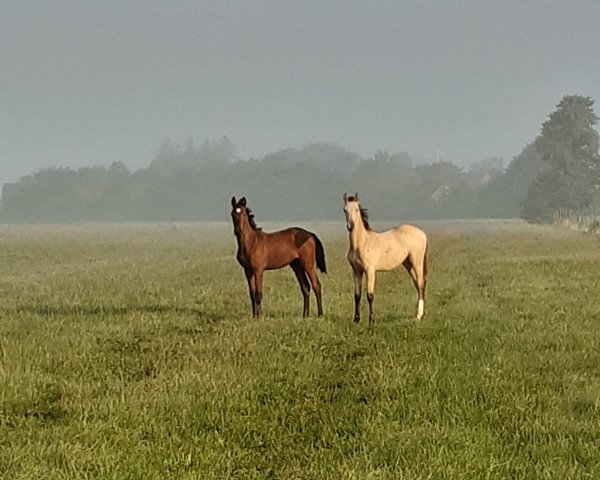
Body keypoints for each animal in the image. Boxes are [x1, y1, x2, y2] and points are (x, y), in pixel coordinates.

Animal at [342, 191, 426, 322]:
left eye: (356, 209)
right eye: (344, 210)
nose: (350, 226)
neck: (361, 243)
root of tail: (422, 234)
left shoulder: (370, 270)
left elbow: (370, 295)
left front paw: (372, 320)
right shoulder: (356, 271)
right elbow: (357, 295)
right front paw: (356, 320)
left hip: (417, 262)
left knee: (421, 283)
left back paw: (419, 316)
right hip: (408, 264)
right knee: (417, 283)